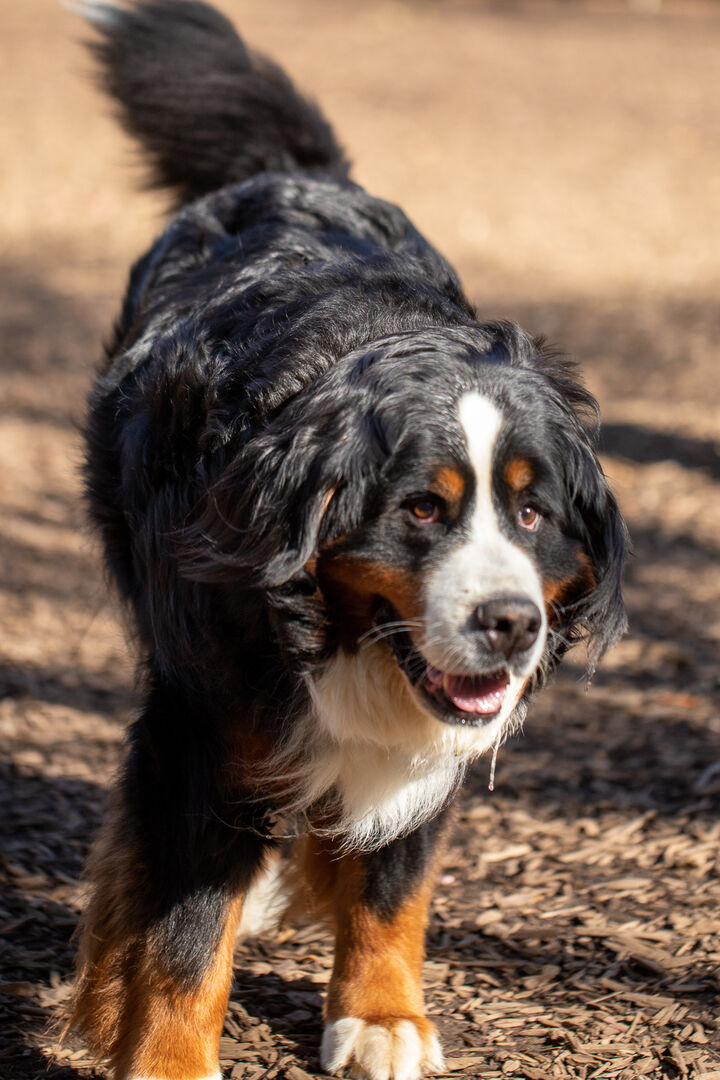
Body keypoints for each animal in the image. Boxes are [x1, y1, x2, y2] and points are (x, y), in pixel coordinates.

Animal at [67, 3, 627, 1078]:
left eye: (532, 514)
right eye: (422, 510)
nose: (510, 624)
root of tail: (292, 175)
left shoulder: (436, 733)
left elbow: (392, 875)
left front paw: (382, 1013)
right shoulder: (207, 719)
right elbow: (185, 923)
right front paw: (167, 1056)